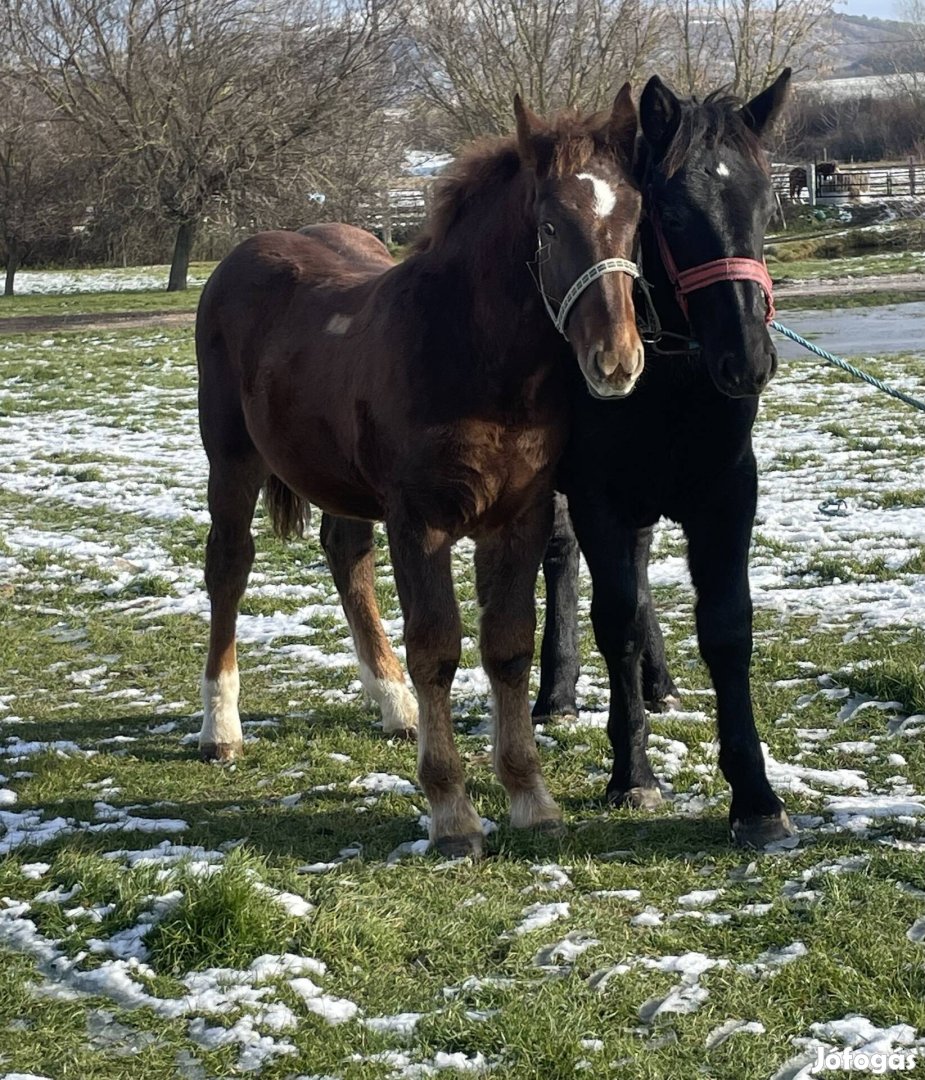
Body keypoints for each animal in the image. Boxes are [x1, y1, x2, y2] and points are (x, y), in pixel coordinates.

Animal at [195, 88, 644, 855]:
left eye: (637, 214)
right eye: (550, 226)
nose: (615, 360)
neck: (478, 361)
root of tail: (241, 254)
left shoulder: (518, 518)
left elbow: (507, 647)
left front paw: (531, 798)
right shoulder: (420, 521)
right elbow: (437, 646)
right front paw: (452, 815)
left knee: (345, 556)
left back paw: (395, 704)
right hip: (230, 460)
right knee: (229, 564)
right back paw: (220, 727)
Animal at [533, 69, 795, 851]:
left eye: (764, 203)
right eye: (672, 212)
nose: (747, 360)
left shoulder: (726, 493)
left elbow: (726, 626)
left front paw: (754, 796)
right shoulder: (596, 497)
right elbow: (613, 618)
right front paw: (633, 774)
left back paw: (659, 682)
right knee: (561, 563)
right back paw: (555, 692)